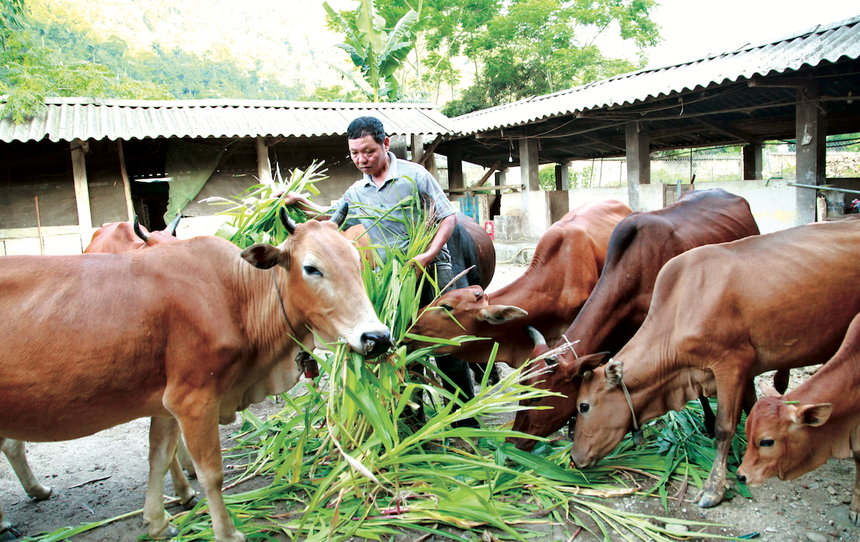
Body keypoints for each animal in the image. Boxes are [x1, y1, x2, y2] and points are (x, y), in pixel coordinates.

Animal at [0, 207, 390, 542]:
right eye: (311, 268)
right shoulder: (193, 399)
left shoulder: (164, 402)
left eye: (356, 260)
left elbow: (158, 457)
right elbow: (211, 473)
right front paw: (227, 532)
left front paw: (158, 521)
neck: (235, 296)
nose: (378, 337)